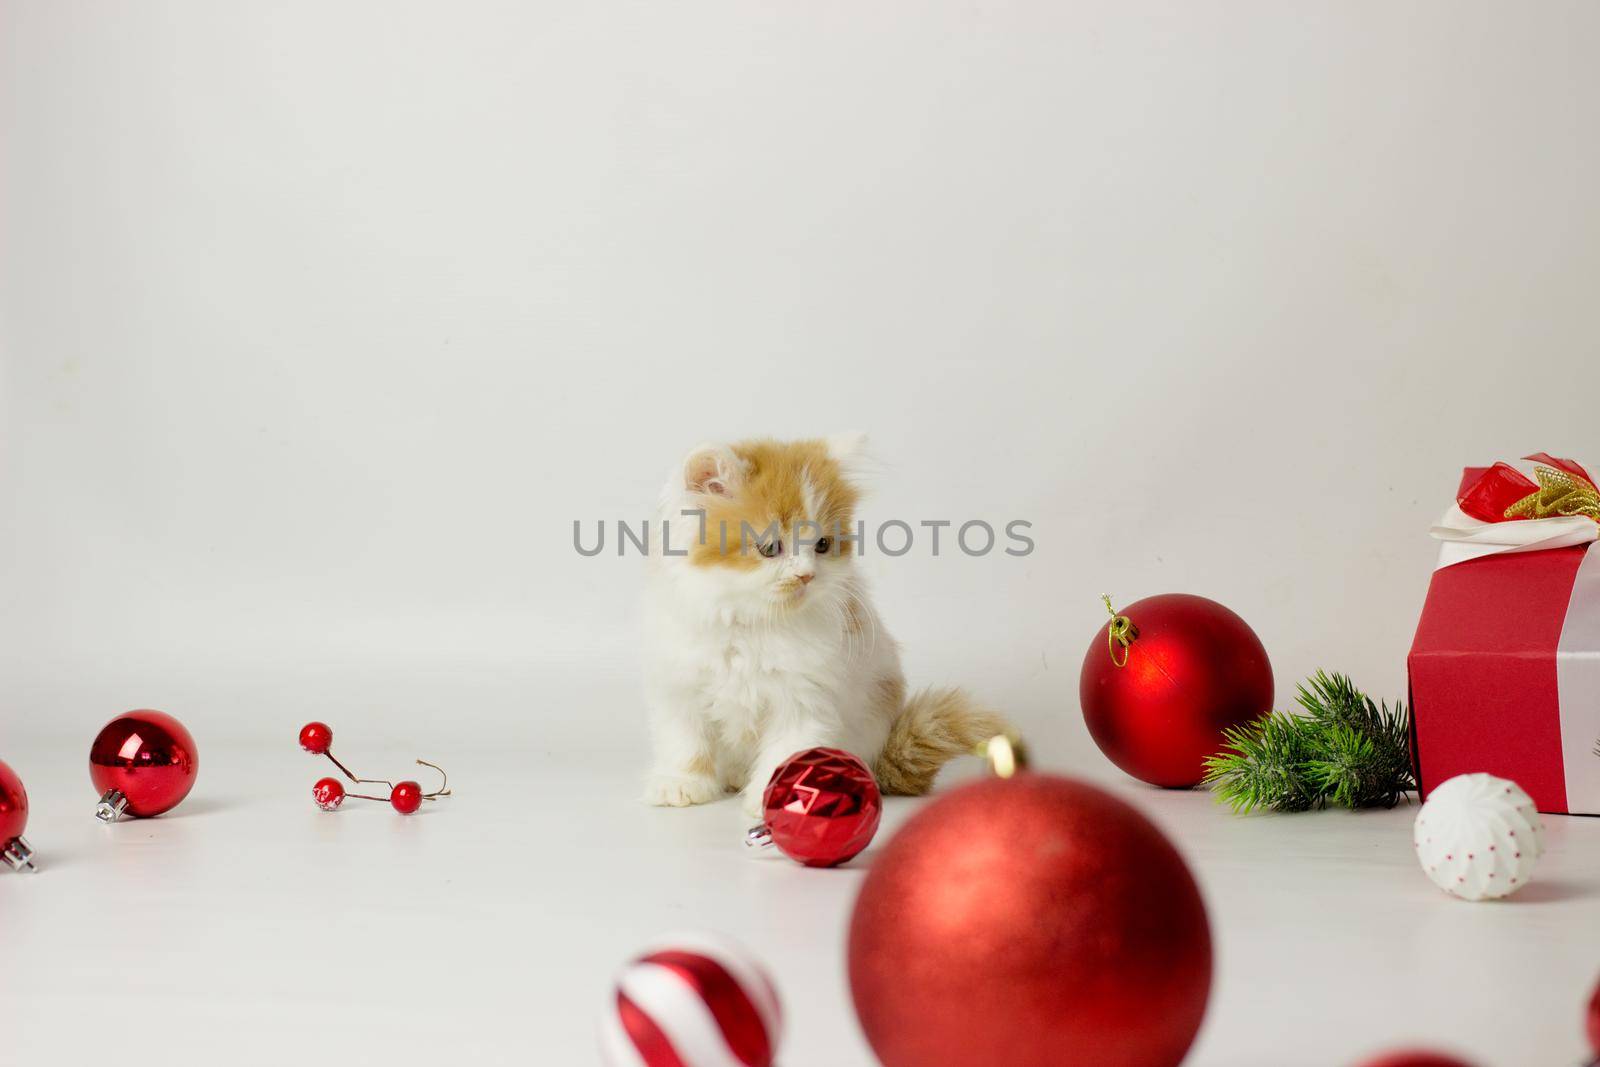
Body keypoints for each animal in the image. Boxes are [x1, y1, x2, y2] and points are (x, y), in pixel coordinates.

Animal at [636, 435, 998, 819]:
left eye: (822, 545)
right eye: (770, 547)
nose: (806, 575)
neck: (751, 622)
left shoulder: (803, 698)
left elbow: (787, 751)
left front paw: (780, 798)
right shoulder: (680, 686)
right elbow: (685, 742)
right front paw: (681, 784)